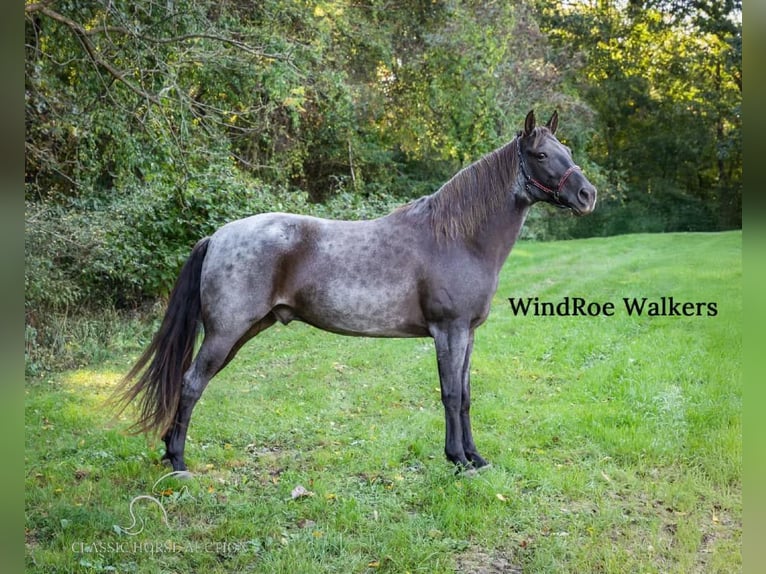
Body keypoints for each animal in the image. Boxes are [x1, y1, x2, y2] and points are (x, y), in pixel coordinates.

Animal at [114, 111, 600, 476]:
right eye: (541, 154)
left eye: (569, 153)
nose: (587, 195)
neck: (457, 238)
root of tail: (217, 236)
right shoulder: (449, 331)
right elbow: (449, 394)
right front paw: (457, 460)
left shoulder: (469, 334)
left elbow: (465, 395)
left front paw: (475, 458)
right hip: (224, 334)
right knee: (191, 384)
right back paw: (178, 462)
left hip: (241, 332)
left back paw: (169, 452)